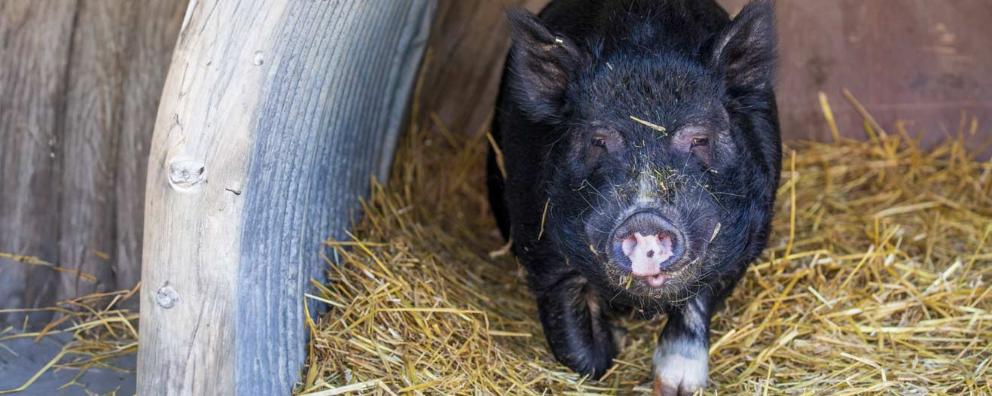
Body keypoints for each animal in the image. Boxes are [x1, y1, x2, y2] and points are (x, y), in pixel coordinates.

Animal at [488, 0, 784, 392]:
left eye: (700, 138)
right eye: (598, 140)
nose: (645, 218)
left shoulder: (746, 245)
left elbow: (696, 304)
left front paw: (677, 386)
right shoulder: (539, 246)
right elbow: (578, 346)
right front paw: (614, 342)